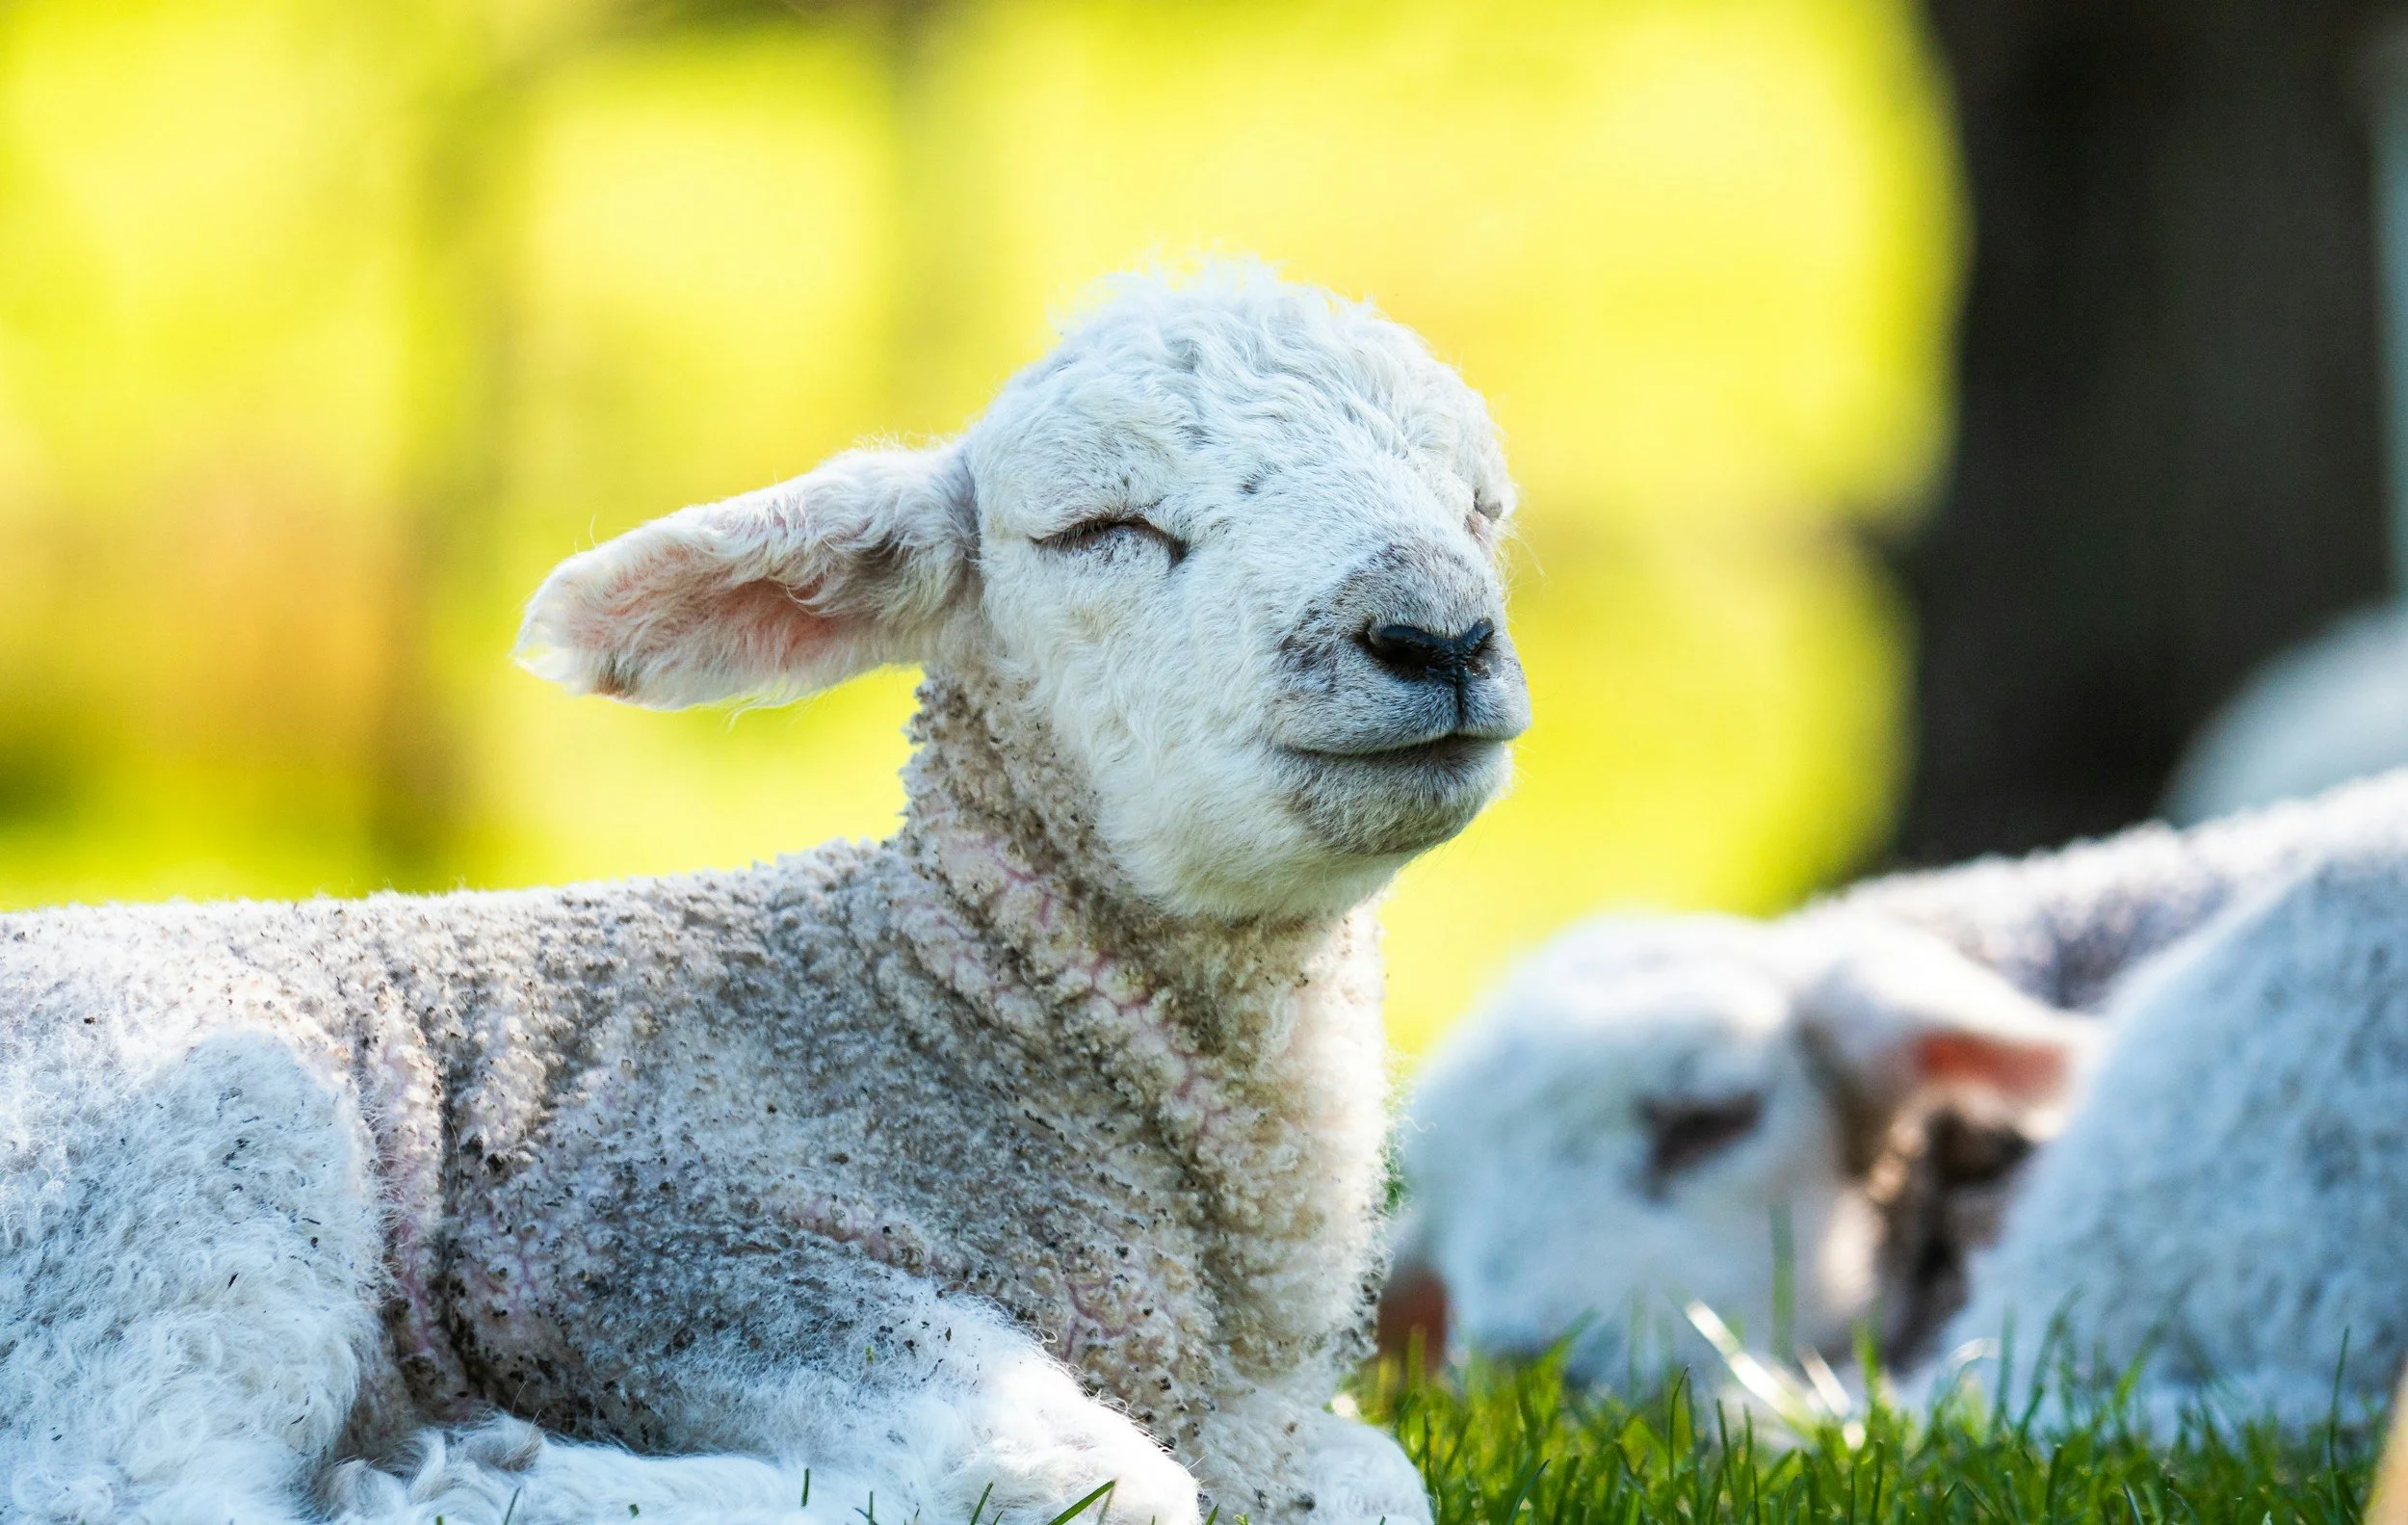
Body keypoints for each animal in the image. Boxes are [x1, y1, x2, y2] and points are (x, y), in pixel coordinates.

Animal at [0, 266, 1531, 1525]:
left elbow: (1373, 1478)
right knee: (132, 1490)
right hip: (194, 1151)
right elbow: (1087, 1477)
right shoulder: (630, 1242)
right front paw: (494, 1473)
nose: (1437, 634)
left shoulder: (1239, 1399)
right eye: (1102, 524)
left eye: (1479, 505)